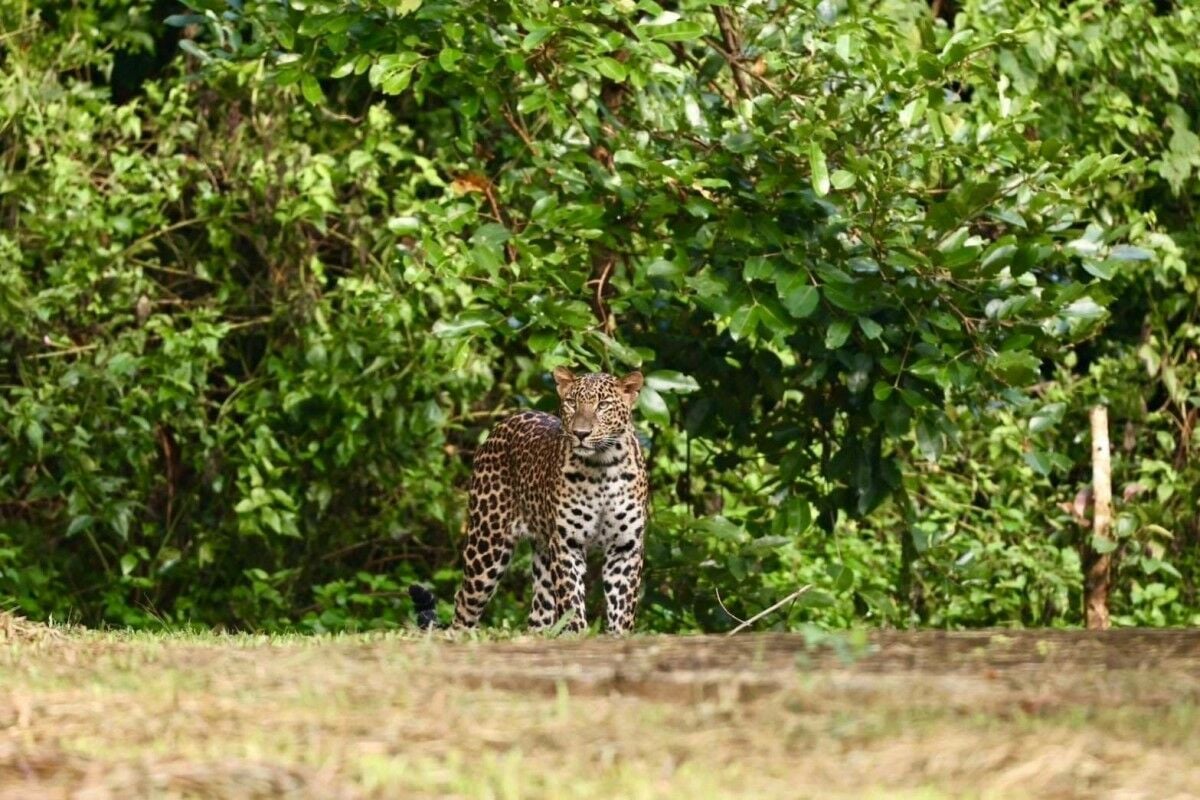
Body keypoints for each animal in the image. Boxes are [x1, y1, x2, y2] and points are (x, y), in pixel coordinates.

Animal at [451, 367, 648, 633]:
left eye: (603, 405)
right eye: (572, 403)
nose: (581, 433)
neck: (603, 466)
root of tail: (506, 420)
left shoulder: (625, 547)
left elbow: (623, 607)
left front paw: (618, 636)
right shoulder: (567, 542)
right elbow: (571, 600)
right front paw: (578, 634)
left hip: (542, 553)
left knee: (539, 614)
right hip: (487, 543)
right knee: (464, 601)